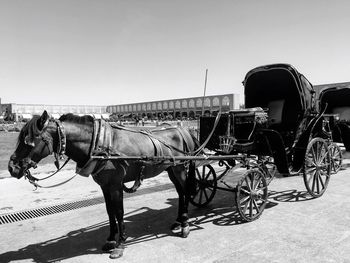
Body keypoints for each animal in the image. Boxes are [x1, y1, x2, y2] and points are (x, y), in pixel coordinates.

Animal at [8, 111, 198, 260]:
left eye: (29, 141)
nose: (12, 167)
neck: (100, 145)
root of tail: (182, 130)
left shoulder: (115, 185)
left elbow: (119, 212)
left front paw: (120, 244)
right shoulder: (105, 186)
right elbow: (110, 211)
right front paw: (110, 239)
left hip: (180, 168)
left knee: (184, 191)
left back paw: (185, 224)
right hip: (171, 169)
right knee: (180, 192)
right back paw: (178, 221)